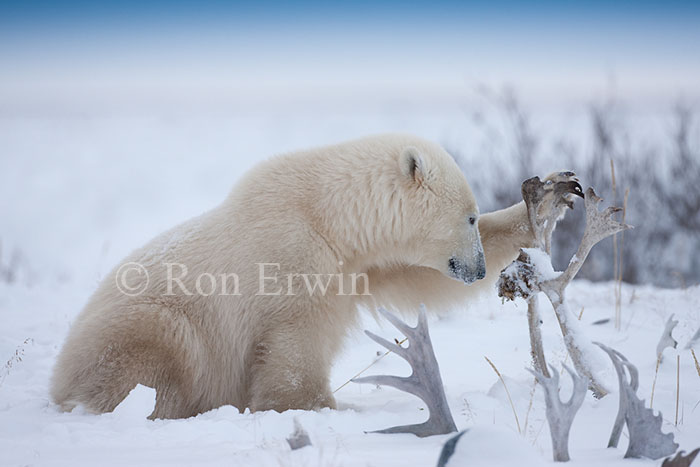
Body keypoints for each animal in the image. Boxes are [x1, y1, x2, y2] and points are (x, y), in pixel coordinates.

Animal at [51, 133, 579, 418]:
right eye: (466, 216)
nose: (477, 270)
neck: (327, 215)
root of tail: (58, 380)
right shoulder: (294, 257)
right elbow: (296, 345)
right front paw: (323, 406)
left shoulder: (363, 263)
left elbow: (417, 276)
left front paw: (553, 194)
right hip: (140, 328)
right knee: (164, 349)